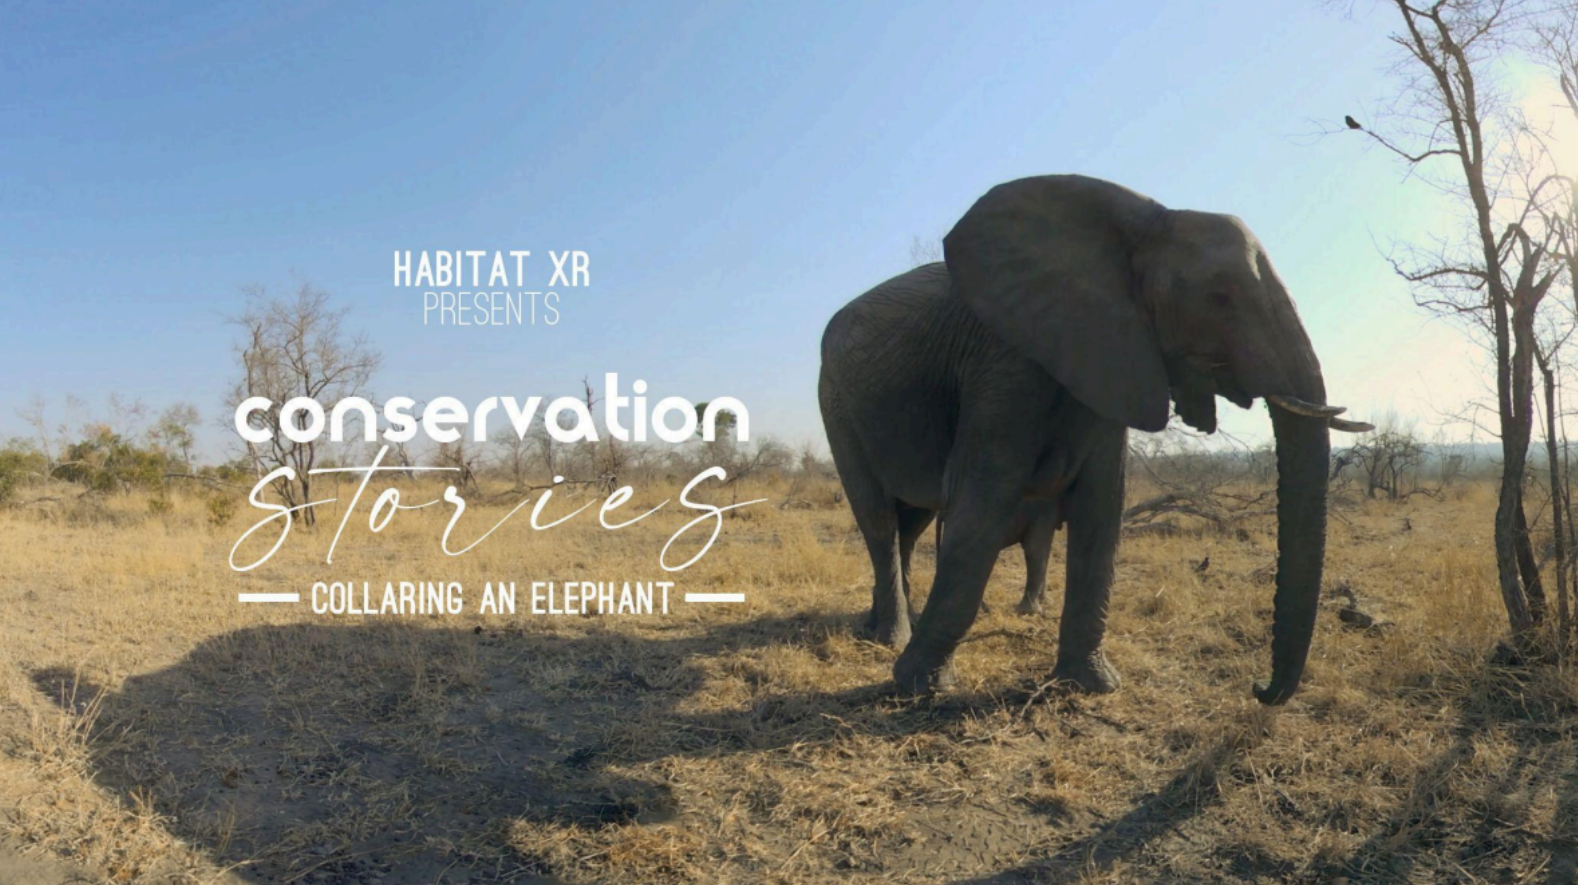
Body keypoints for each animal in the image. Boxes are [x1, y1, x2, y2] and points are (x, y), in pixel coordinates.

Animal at [819, 175, 1371, 705]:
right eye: (1219, 297)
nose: (1259, 689)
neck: (1138, 227)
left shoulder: (1108, 355)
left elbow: (1102, 508)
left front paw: (1092, 685)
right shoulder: (1004, 362)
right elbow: (981, 508)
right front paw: (923, 687)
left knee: (909, 524)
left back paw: (884, 625)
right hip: (836, 401)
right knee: (878, 519)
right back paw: (890, 637)